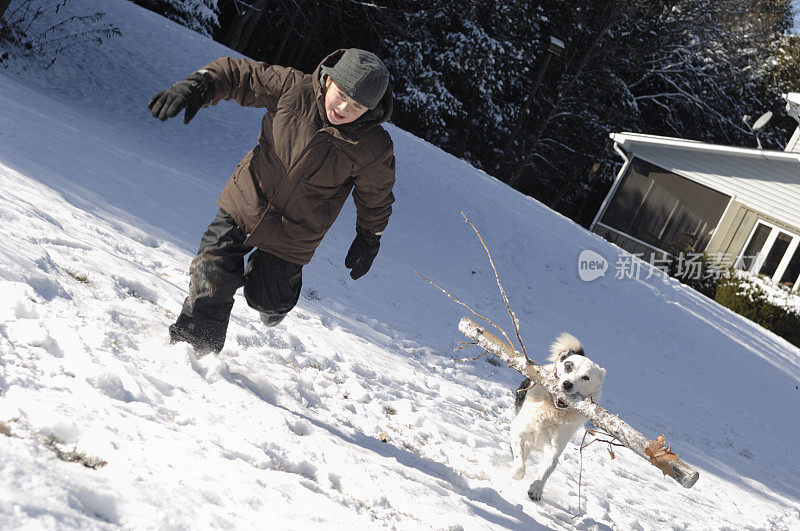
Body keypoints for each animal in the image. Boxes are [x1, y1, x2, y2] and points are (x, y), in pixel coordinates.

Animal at [510, 332, 604, 502]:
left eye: (586, 377)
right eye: (568, 366)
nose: (567, 384)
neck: (552, 410)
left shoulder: (554, 447)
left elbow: (548, 467)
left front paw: (536, 489)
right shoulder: (517, 430)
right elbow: (519, 464)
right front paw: (515, 473)